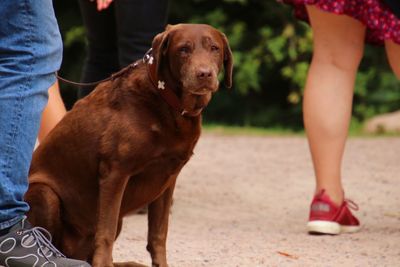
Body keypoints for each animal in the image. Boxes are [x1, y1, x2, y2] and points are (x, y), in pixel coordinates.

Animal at [26, 24, 233, 266]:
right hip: (45, 193)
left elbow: (159, 234)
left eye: (214, 48)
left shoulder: (167, 180)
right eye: (183, 49)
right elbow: (105, 233)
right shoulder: (115, 173)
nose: (204, 74)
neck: (167, 103)